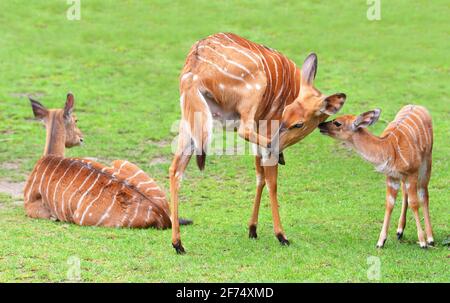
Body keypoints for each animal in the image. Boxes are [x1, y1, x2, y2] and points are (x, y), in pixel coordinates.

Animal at [24, 94, 192, 229]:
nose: (81, 138)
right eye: (76, 120)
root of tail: (163, 214)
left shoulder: (30, 206)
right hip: (121, 161)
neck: (48, 157)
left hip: (80, 218)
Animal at [171, 32, 346, 254]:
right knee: (245, 132)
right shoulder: (267, 124)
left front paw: (252, 229)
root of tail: (195, 64)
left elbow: (259, 176)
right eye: (288, 116)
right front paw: (281, 235)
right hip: (250, 96)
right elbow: (271, 181)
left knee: (175, 170)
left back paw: (178, 244)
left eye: (298, 123)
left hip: (191, 121)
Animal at [318, 105, 434, 248]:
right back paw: (399, 231)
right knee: (405, 193)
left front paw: (423, 242)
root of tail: (417, 105)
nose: (320, 125)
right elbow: (389, 203)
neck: (389, 149)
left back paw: (430, 238)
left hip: (426, 162)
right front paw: (380, 242)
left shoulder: (412, 173)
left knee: (423, 193)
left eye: (338, 123)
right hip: (404, 176)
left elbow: (414, 203)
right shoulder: (391, 176)